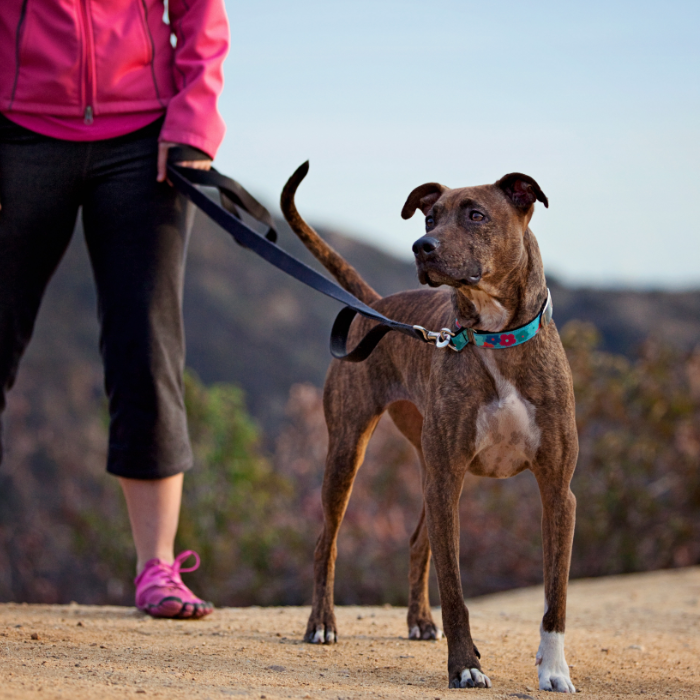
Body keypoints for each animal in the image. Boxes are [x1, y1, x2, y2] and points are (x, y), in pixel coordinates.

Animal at [280, 164, 580, 696]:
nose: (422, 246)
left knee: (418, 540)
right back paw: (321, 624)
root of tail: (377, 305)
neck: (495, 335)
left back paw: (419, 620)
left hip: (430, 466)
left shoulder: (557, 491)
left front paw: (554, 670)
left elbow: (555, 596)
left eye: (476, 215)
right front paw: (464, 666)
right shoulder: (446, 482)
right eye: (430, 216)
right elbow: (456, 591)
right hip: (348, 450)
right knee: (325, 542)